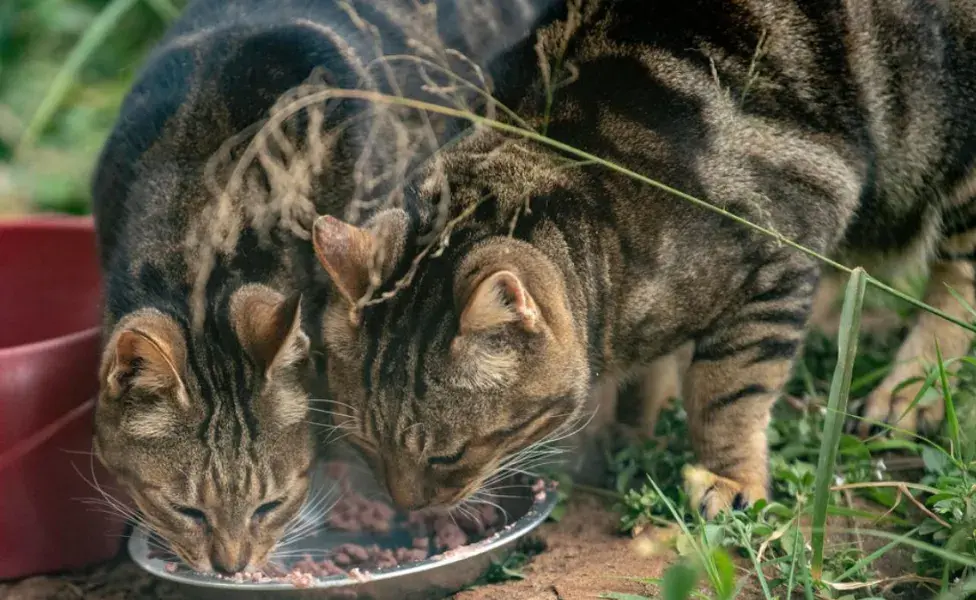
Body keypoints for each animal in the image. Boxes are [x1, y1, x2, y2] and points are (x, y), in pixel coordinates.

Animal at [310, 0, 976, 516]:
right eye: (365, 446)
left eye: (448, 455)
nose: (405, 507)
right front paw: (630, 424)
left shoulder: (776, 264)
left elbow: (725, 395)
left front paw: (730, 479)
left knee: (956, 283)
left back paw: (908, 392)